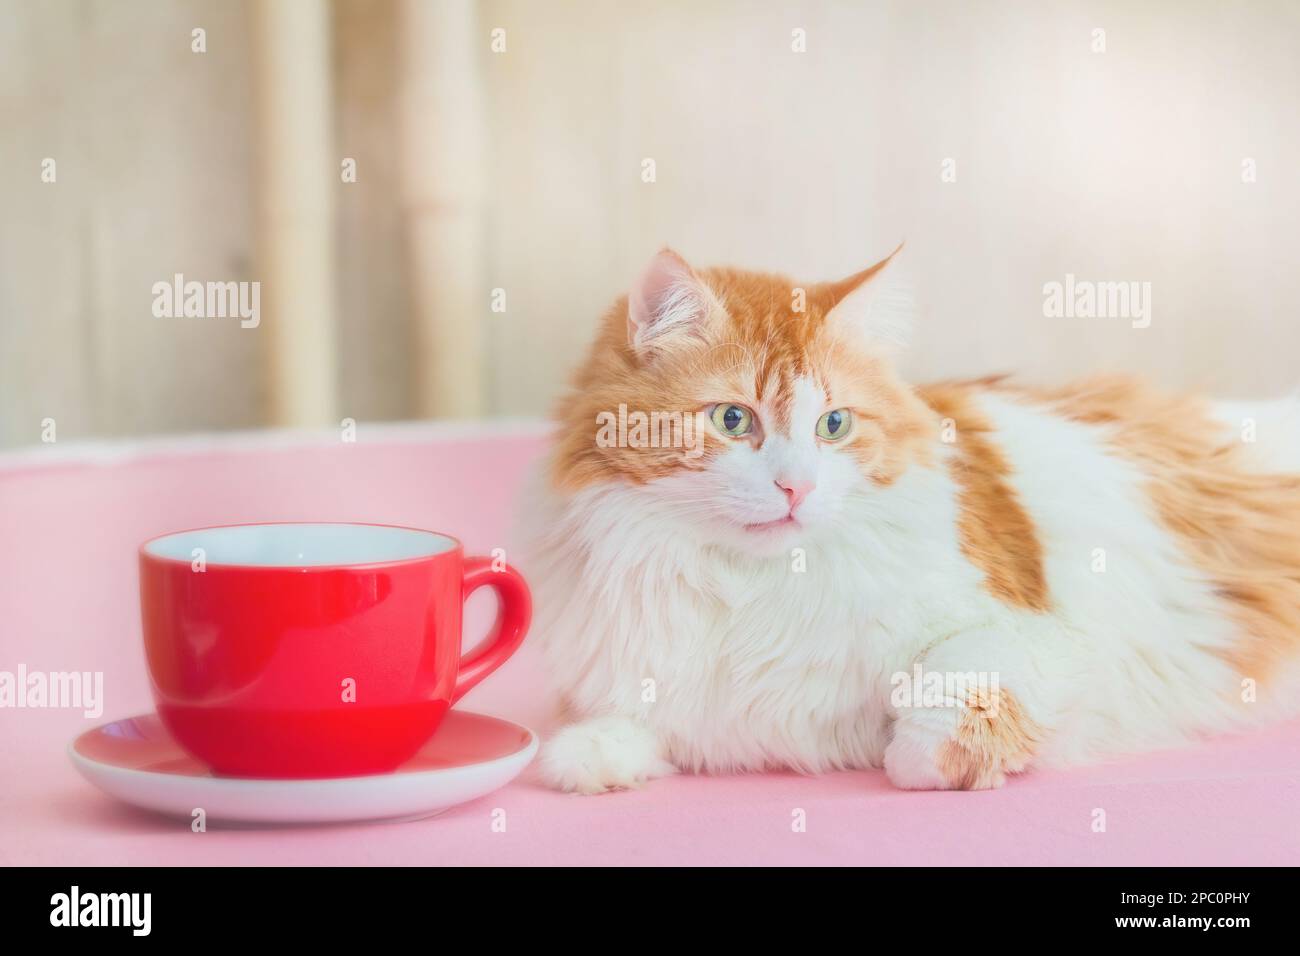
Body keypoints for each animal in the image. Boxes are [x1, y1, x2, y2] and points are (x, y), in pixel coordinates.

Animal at [517, 247, 1300, 790]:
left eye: (833, 425)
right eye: (733, 420)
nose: (797, 488)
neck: (749, 588)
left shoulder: (1034, 636)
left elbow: (936, 714)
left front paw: (918, 751)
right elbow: (608, 735)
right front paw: (592, 756)